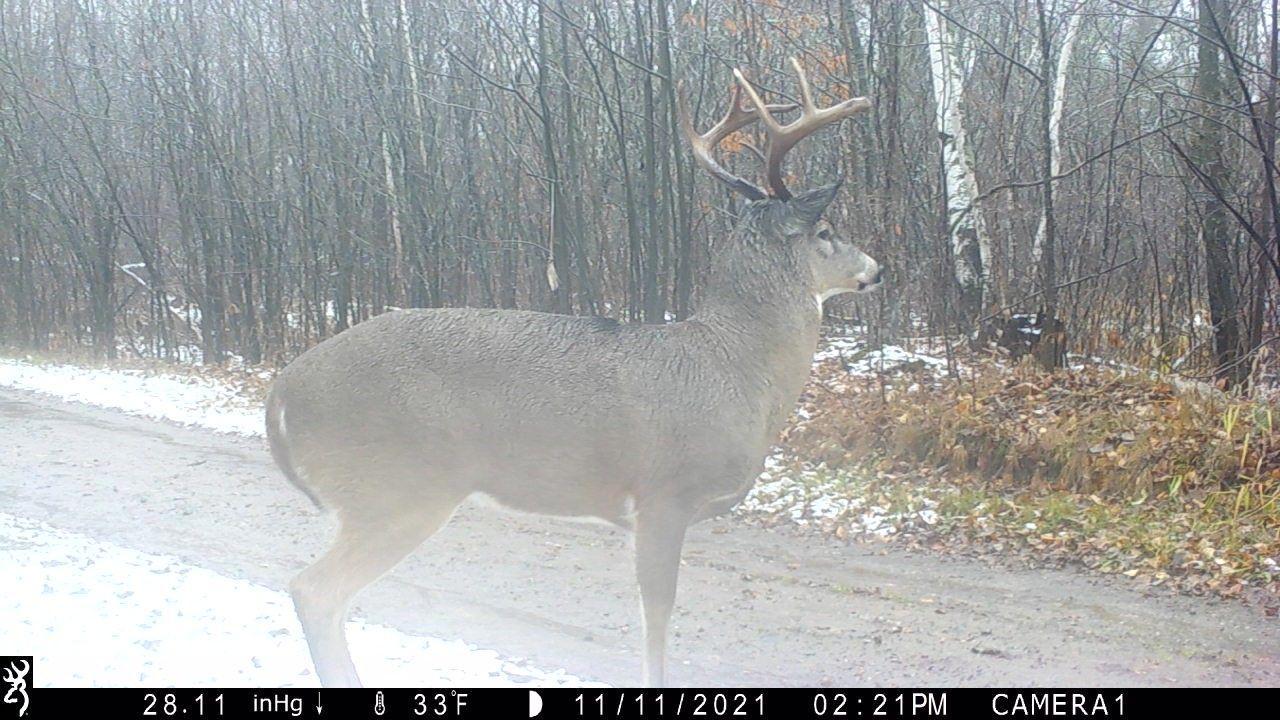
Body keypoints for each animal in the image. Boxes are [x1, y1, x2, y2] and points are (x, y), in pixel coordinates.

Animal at [266, 58, 878, 688]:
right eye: (826, 232)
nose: (875, 269)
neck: (738, 365)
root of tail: (281, 393)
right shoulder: (664, 494)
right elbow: (656, 617)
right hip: (395, 490)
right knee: (314, 590)